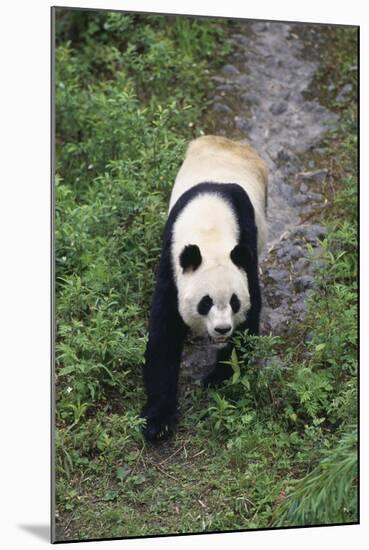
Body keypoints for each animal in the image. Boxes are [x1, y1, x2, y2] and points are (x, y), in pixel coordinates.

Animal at [142, 136, 268, 442]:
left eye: (234, 302)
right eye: (205, 302)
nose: (222, 329)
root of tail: (229, 143)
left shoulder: (244, 249)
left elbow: (249, 319)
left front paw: (218, 378)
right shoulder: (171, 263)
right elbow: (163, 335)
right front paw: (158, 422)